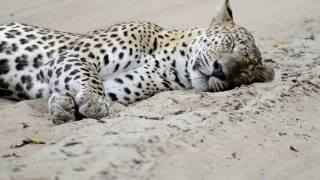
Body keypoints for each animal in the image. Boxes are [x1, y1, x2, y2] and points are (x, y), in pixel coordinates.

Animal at [0, 0, 276, 124]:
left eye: (243, 74)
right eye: (231, 43)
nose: (222, 71)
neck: (172, 63)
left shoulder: (117, 87)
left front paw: (63, 106)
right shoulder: (76, 54)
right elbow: (89, 76)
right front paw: (91, 101)